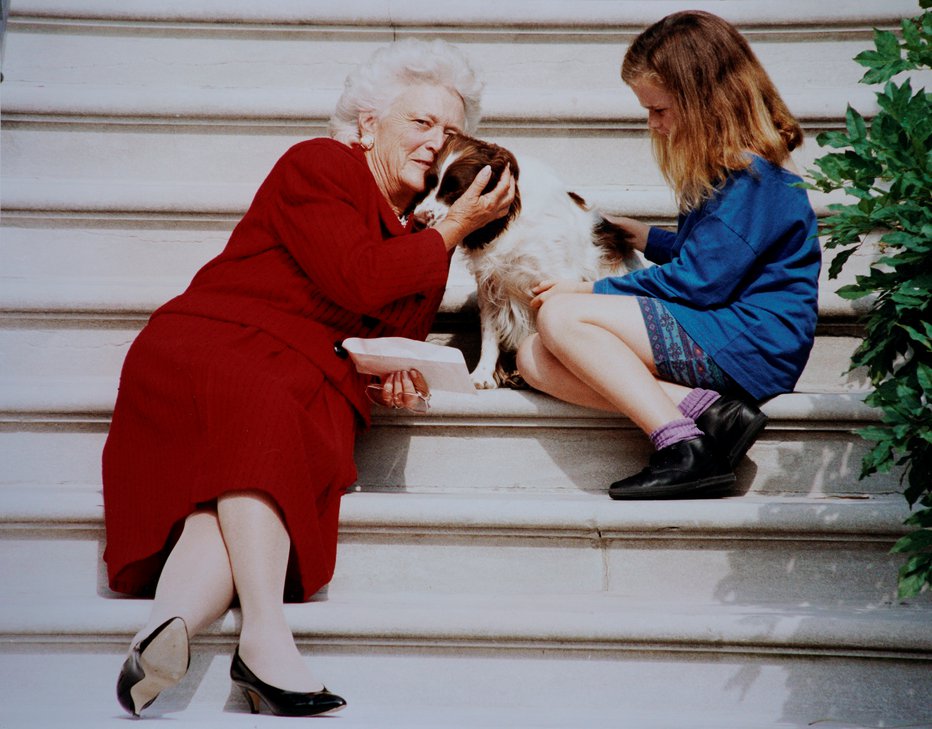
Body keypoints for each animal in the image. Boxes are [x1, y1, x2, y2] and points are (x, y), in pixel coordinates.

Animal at [414, 134, 640, 390]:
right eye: (429, 183)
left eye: (455, 190)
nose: (417, 220)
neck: (512, 221)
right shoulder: (491, 285)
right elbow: (490, 333)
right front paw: (482, 375)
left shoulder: (553, 281)